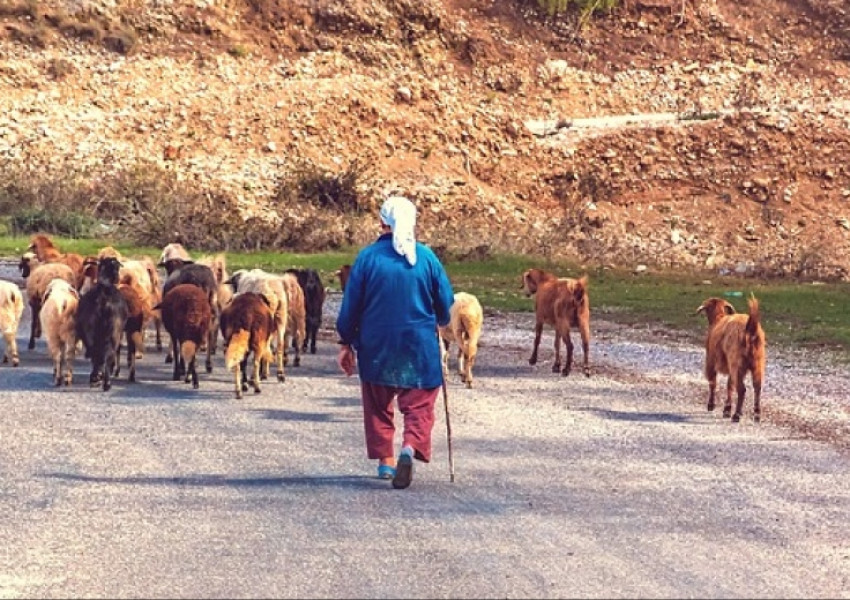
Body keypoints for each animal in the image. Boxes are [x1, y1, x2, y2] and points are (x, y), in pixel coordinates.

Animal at [74, 255, 127, 392]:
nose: (117, 277)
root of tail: (103, 298)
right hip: (113, 330)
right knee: (107, 353)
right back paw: (104, 381)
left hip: (91, 330)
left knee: (97, 352)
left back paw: (96, 378)